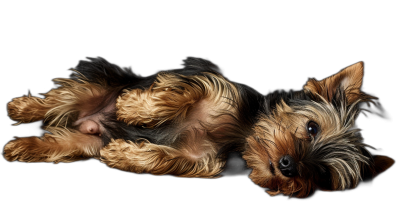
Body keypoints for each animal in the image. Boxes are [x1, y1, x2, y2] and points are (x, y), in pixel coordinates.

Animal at [3, 57, 396, 198]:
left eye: (323, 175)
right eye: (312, 127)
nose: (289, 166)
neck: (244, 134)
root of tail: (88, 120)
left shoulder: (203, 161)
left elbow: (168, 160)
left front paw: (123, 155)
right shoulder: (211, 83)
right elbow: (183, 91)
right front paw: (134, 108)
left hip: (85, 142)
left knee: (64, 142)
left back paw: (24, 147)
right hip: (100, 83)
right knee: (62, 97)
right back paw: (22, 107)